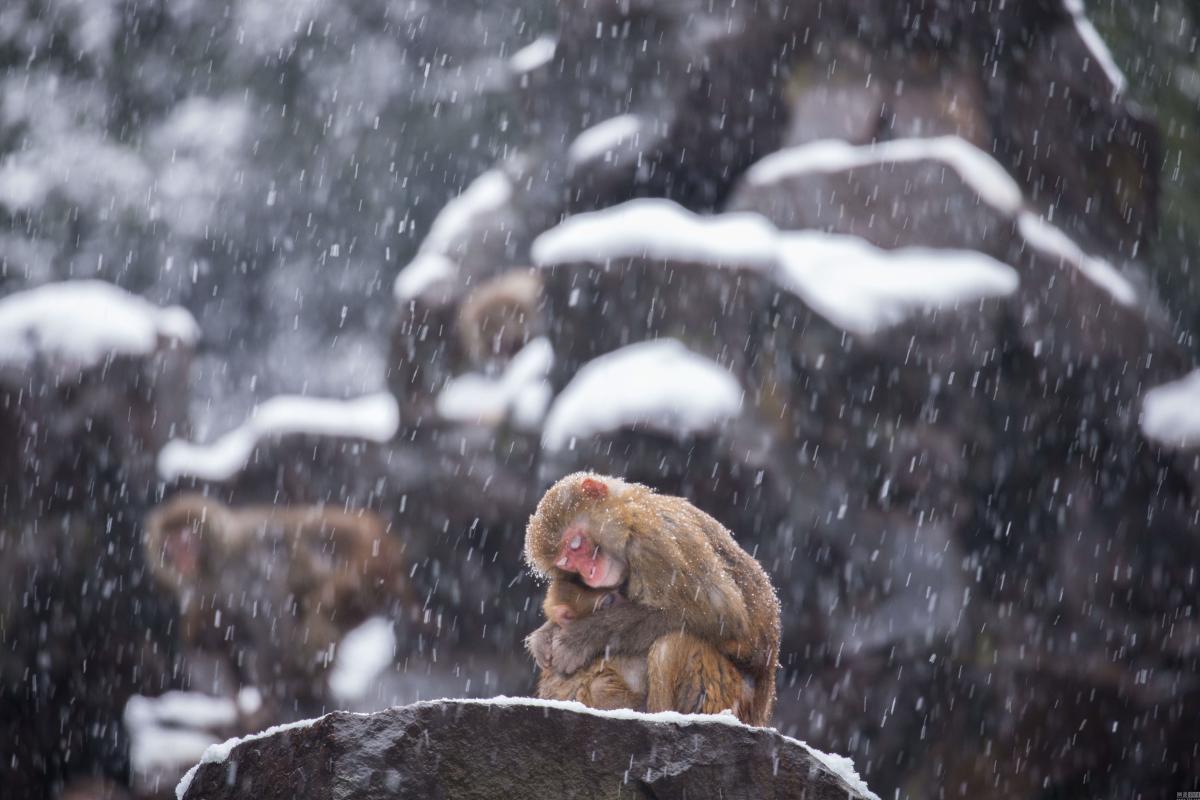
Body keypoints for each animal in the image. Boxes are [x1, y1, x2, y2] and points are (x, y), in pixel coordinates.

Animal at [144, 494, 408, 714]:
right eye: (170, 544)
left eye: (186, 540)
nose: (182, 559)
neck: (217, 564)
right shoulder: (201, 588)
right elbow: (208, 635)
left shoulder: (254, 567)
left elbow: (271, 629)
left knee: (317, 610)